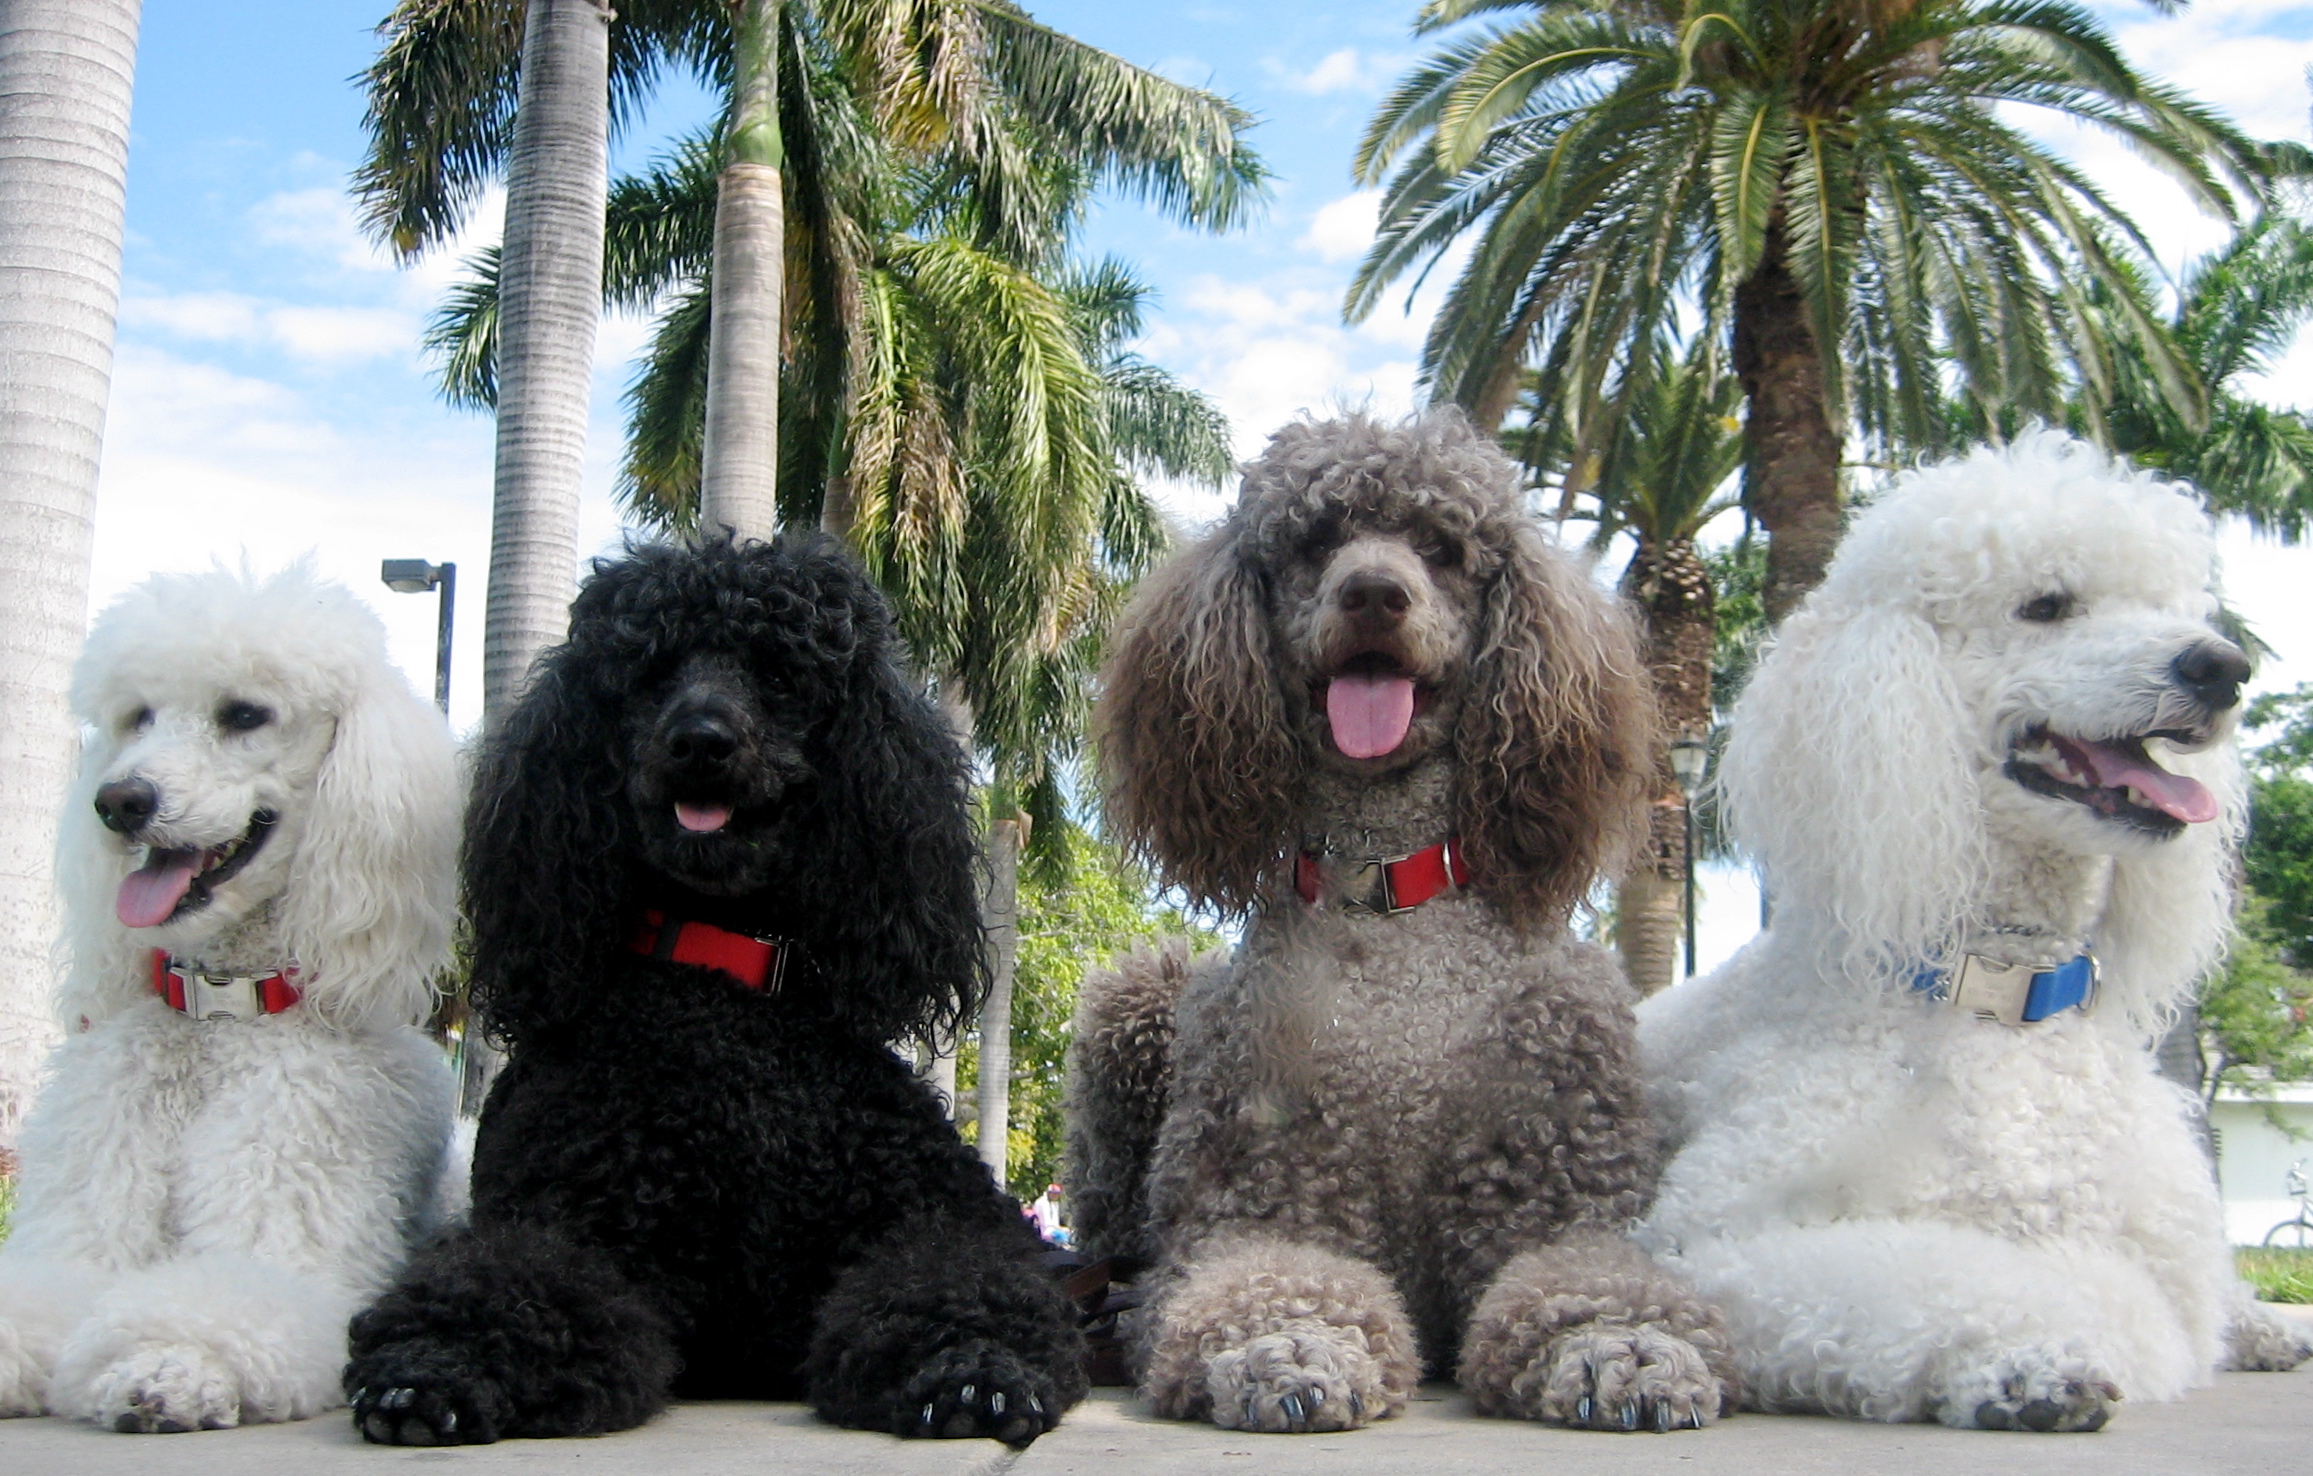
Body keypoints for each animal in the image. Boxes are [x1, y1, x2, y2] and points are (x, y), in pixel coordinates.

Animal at [0, 564, 460, 1432]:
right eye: (137, 717)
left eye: (245, 714)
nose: (118, 801)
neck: (217, 1017)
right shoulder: (74, 1235)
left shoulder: (287, 1241)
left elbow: (224, 1301)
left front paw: (166, 1365)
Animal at [345, 535, 1087, 1447]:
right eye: (649, 671)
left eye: (777, 672)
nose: (700, 740)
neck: (724, 987)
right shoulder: (569, 1224)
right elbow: (511, 1281)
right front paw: (437, 1365)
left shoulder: (933, 1220)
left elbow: (959, 1278)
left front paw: (974, 1368)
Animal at [1067, 409, 1738, 1435]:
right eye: (1313, 541)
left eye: (1443, 548)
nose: (1375, 593)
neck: (1390, 896)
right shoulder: (1262, 1200)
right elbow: (1266, 1280)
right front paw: (1287, 1346)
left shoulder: (1554, 1194)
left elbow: (1586, 1276)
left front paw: (1624, 1347)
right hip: (1135, 1004)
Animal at [1637, 431, 2313, 1431]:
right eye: (2046, 606)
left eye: (2167, 606)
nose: (2220, 667)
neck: (1998, 993)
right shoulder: (1712, 1242)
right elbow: (1969, 1280)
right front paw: (2028, 1358)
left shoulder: (2162, 1233)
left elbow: (2169, 1291)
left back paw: (2269, 1325)